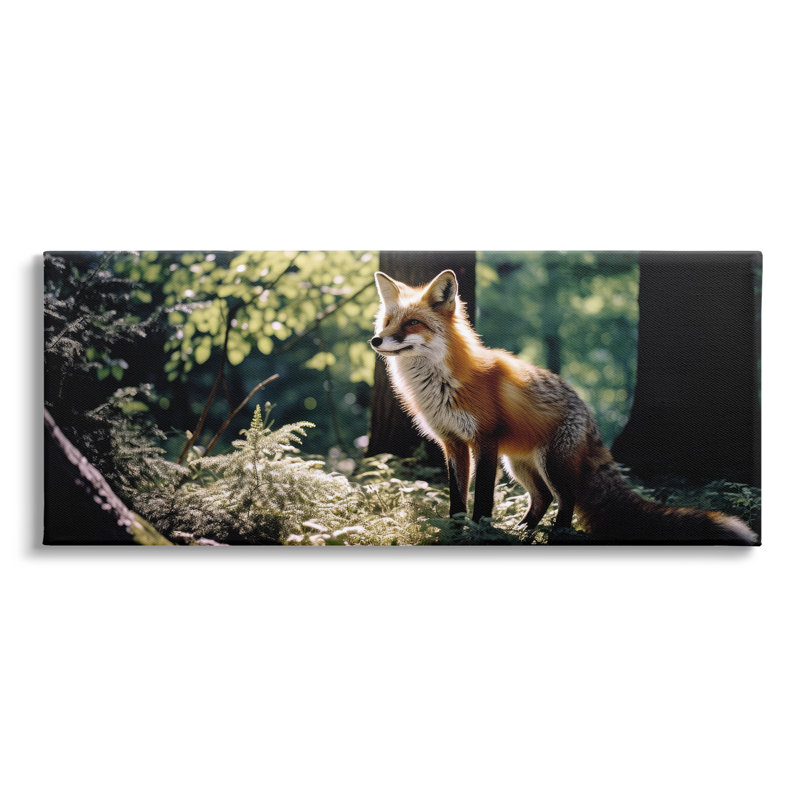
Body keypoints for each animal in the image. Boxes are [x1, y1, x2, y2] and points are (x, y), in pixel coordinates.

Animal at [370, 269, 758, 545]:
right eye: (387, 322)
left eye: (412, 323)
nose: (375, 340)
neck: (442, 384)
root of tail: (587, 411)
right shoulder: (453, 443)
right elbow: (456, 502)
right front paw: (455, 535)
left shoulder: (485, 440)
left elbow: (481, 502)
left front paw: (480, 535)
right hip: (519, 463)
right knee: (542, 498)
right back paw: (523, 532)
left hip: (550, 462)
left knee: (566, 499)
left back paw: (554, 535)